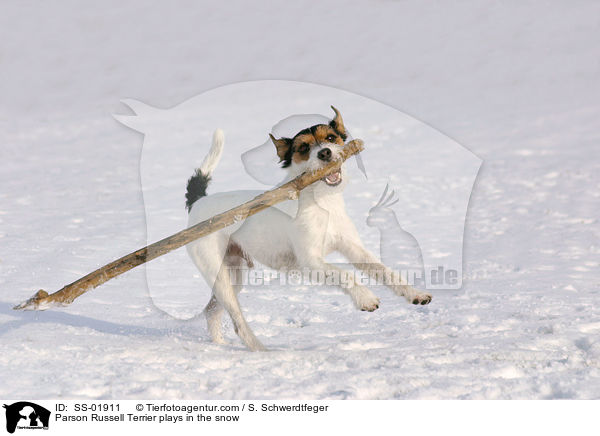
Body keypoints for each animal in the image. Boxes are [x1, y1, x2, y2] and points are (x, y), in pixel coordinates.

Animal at [185, 106, 428, 350]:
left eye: (330, 138)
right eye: (303, 148)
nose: (325, 154)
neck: (322, 201)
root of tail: (199, 202)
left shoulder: (353, 249)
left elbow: (386, 272)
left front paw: (415, 294)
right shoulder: (310, 262)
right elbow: (345, 275)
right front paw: (366, 299)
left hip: (233, 275)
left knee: (211, 312)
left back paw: (219, 345)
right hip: (219, 277)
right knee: (237, 323)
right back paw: (263, 351)